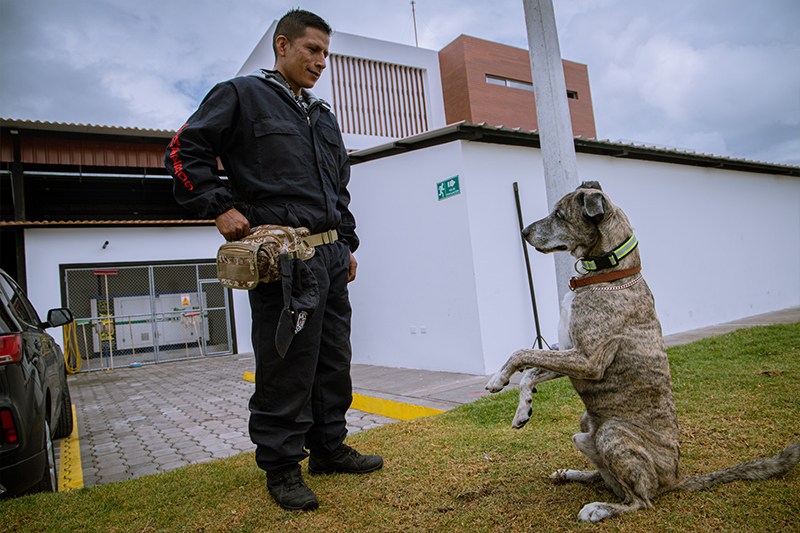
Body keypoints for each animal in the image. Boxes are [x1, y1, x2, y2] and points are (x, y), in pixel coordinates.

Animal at [484, 181, 796, 520]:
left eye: (560, 215)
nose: (524, 232)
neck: (610, 275)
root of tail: (675, 477)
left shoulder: (588, 359)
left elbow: (522, 353)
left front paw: (497, 380)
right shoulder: (569, 353)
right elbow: (531, 370)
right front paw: (523, 408)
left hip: (613, 434)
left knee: (640, 499)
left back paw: (598, 509)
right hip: (585, 426)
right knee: (608, 478)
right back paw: (572, 474)